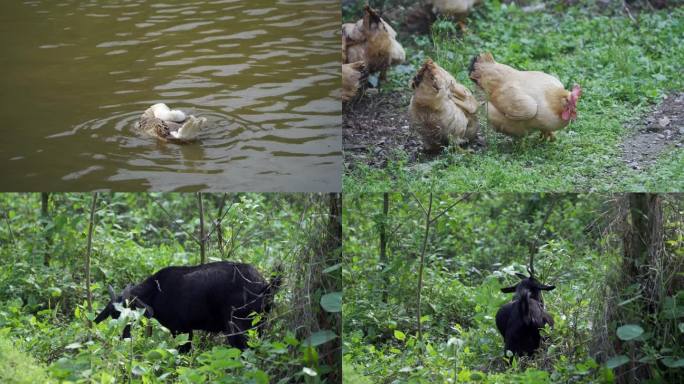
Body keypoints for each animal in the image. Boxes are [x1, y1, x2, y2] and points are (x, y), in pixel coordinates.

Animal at [93, 260, 280, 352]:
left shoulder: (180, 329)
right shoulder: (187, 329)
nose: (124, 339)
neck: (156, 291)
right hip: (260, 324)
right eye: (113, 316)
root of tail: (265, 286)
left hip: (239, 327)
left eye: (131, 314)